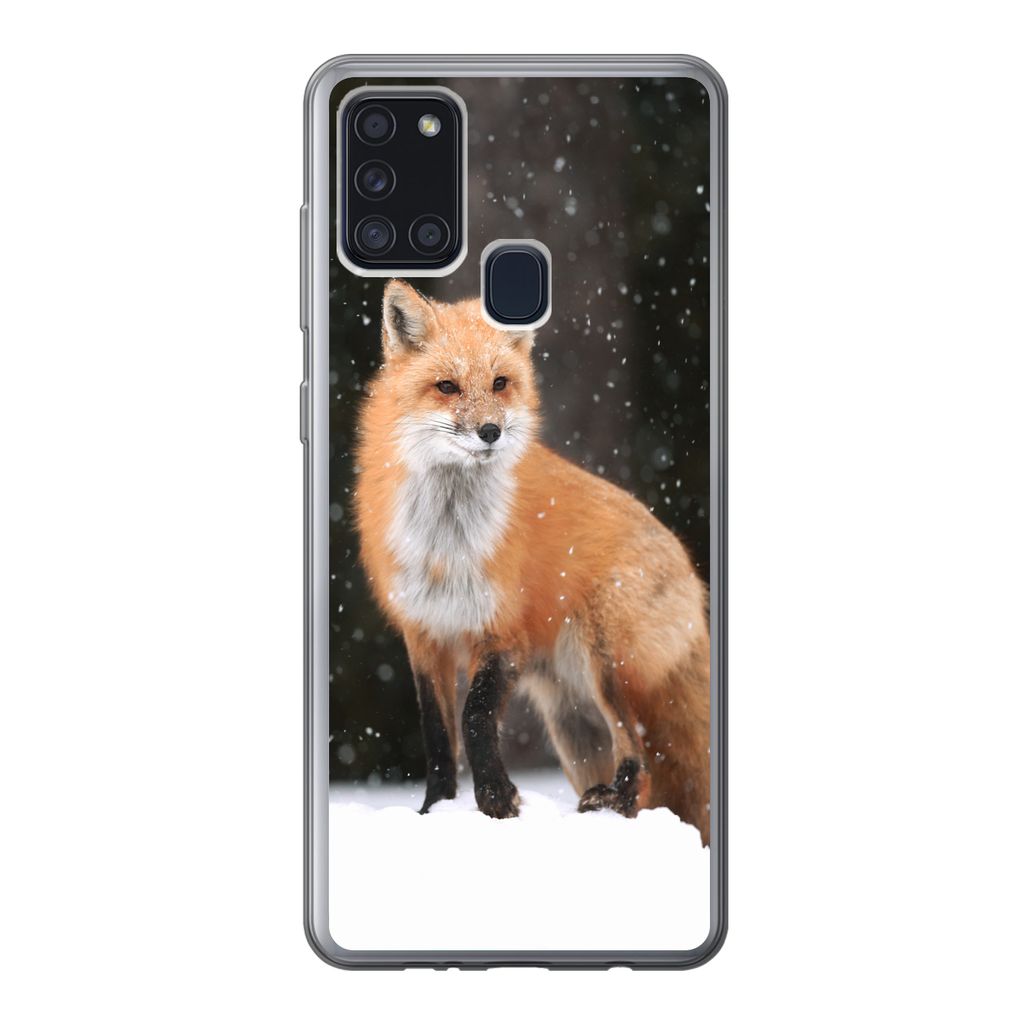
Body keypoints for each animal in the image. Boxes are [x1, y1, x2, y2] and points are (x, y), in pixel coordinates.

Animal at [353, 279, 711, 844]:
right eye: (447, 386)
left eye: (500, 383)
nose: (490, 432)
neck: (447, 547)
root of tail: (694, 577)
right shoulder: (424, 634)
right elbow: (437, 737)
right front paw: (436, 809)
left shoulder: (503, 631)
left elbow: (476, 717)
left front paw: (496, 800)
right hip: (575, 724)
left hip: (607, 665)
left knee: (641, 754)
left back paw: (613, 798)